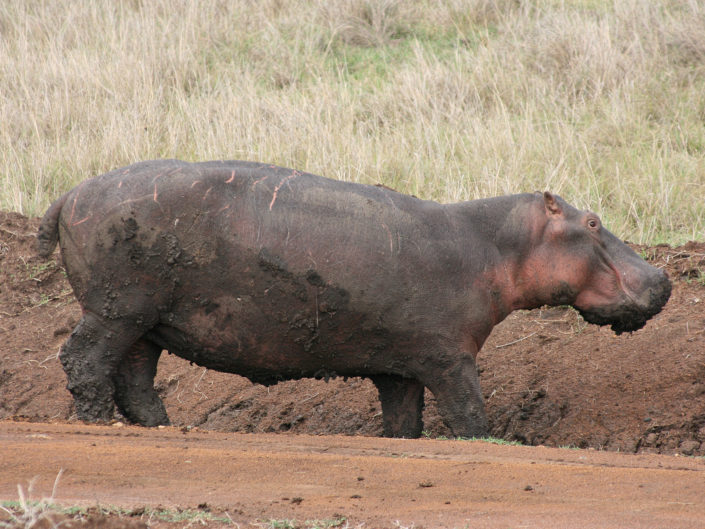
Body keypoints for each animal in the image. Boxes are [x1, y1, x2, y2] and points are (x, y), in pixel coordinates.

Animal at [38, 160, 671, 438]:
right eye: (593, 222)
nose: (665, 277)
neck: (497, 245)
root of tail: (70, 191)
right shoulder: (450, 357)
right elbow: (469, 411)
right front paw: (484, 439)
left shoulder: (402, 365)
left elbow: (404, 421)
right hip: (118, 306)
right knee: (84, 361)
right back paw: (95, 423)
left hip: (145, 318)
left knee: (134, 377)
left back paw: (161, 428)